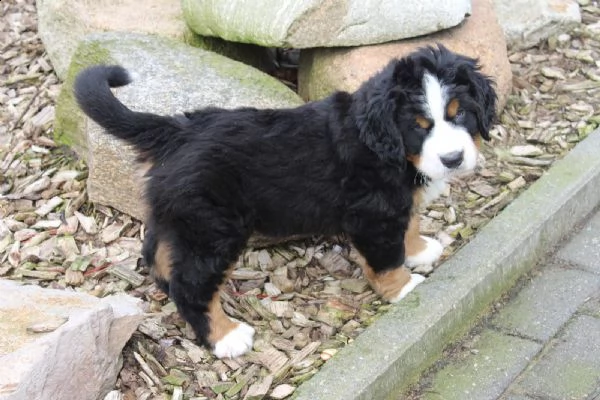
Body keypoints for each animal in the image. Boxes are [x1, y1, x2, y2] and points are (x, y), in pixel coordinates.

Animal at [75, 44, 496, 360]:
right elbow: (387, 258)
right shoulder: (373, 213)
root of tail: (177, 130)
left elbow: (408, 225)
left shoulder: (395, 205)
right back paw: (226, 337)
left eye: (461, 114)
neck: (383, 145)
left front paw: (420, 249)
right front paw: (405, 289)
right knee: (191, 286)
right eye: (418, 127)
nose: (453, 159)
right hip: (215, 229)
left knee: (157, 254)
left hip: (181, 218)